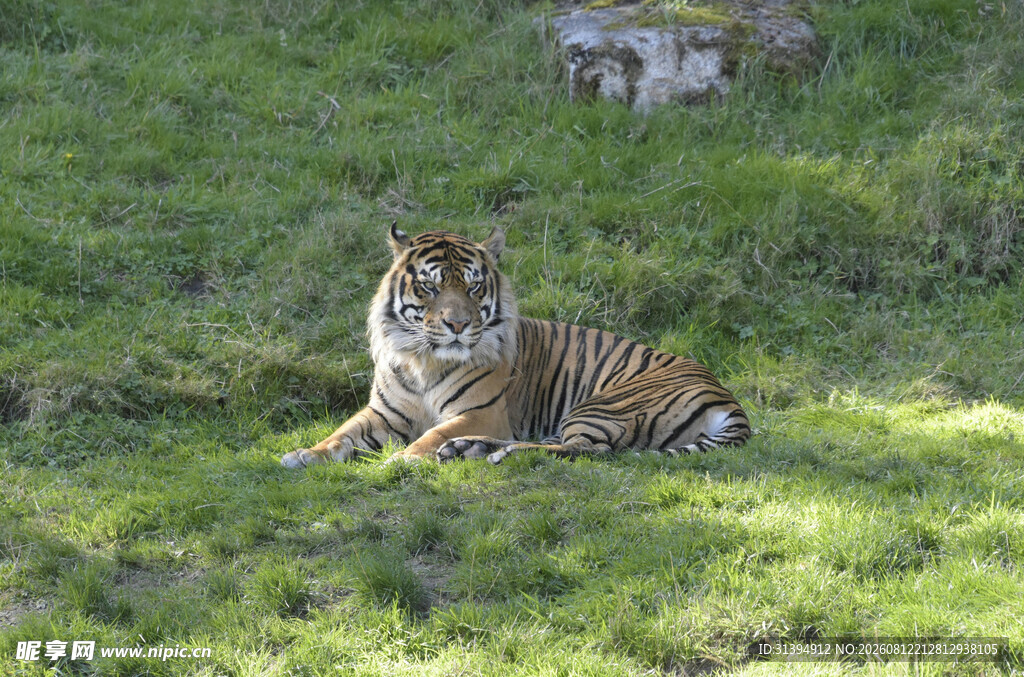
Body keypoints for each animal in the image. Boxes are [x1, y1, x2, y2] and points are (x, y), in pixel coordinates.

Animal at [280, 225, 750, 468]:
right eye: (430, 286)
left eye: (473, 287)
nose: (457, 324)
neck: (423, 361)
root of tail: (727, 397)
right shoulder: (383, 412)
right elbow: (341, 435)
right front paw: (303, 454)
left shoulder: (482, 411)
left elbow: (432, 434)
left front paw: (403, 460)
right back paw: (470, 450)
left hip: (603, 405)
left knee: (586, 449)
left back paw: (491, 453)